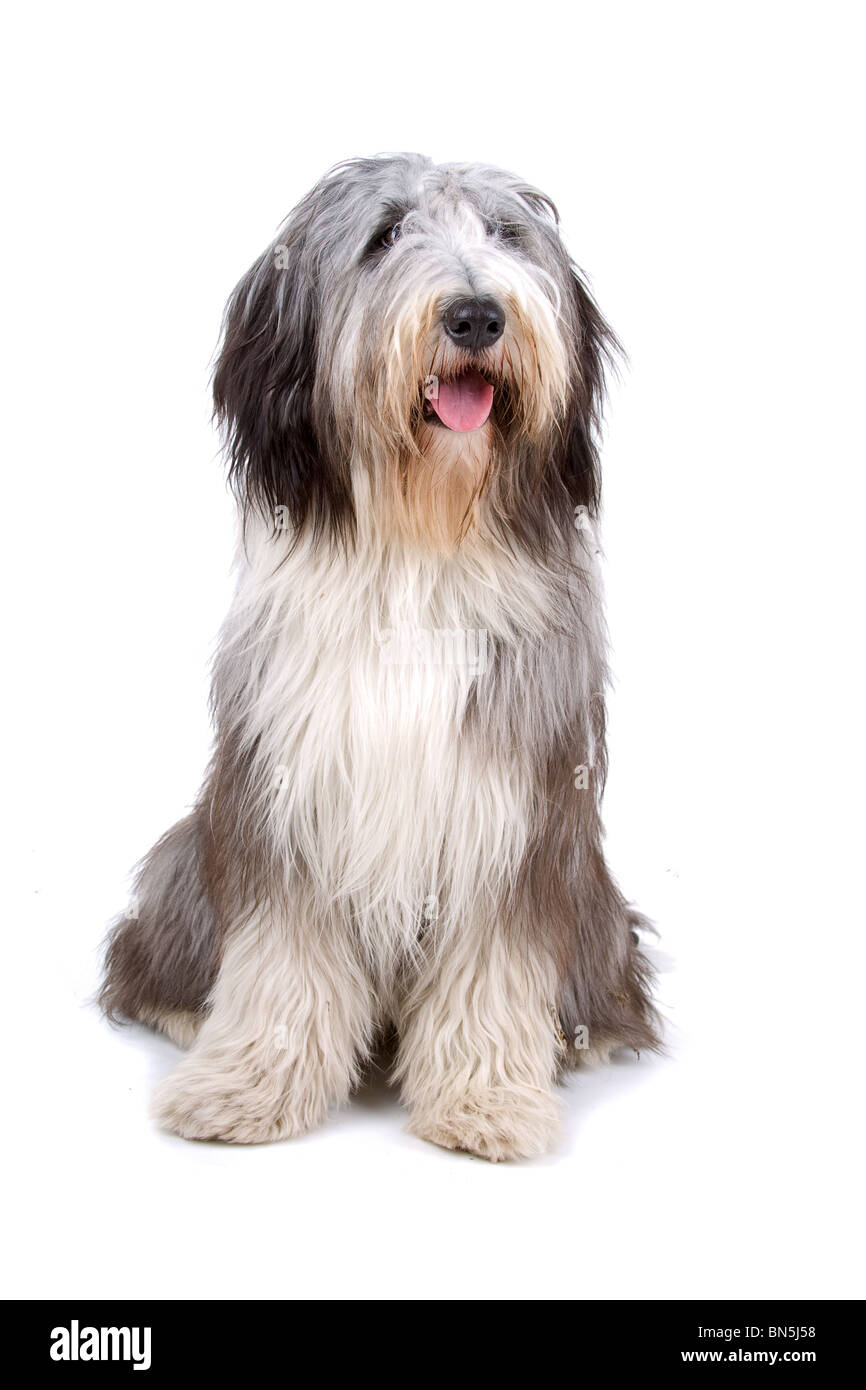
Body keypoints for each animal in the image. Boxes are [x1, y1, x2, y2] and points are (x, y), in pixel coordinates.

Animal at [97, 152, 661, 1156]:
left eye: (507, 237)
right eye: (386, 235)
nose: (476, 315)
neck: (420, 540)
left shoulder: (514, 812)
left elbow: (493, 963)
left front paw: (484, 1100)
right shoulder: (289, 793)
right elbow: (281, 957)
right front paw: (247, 1087)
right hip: (182, 857)